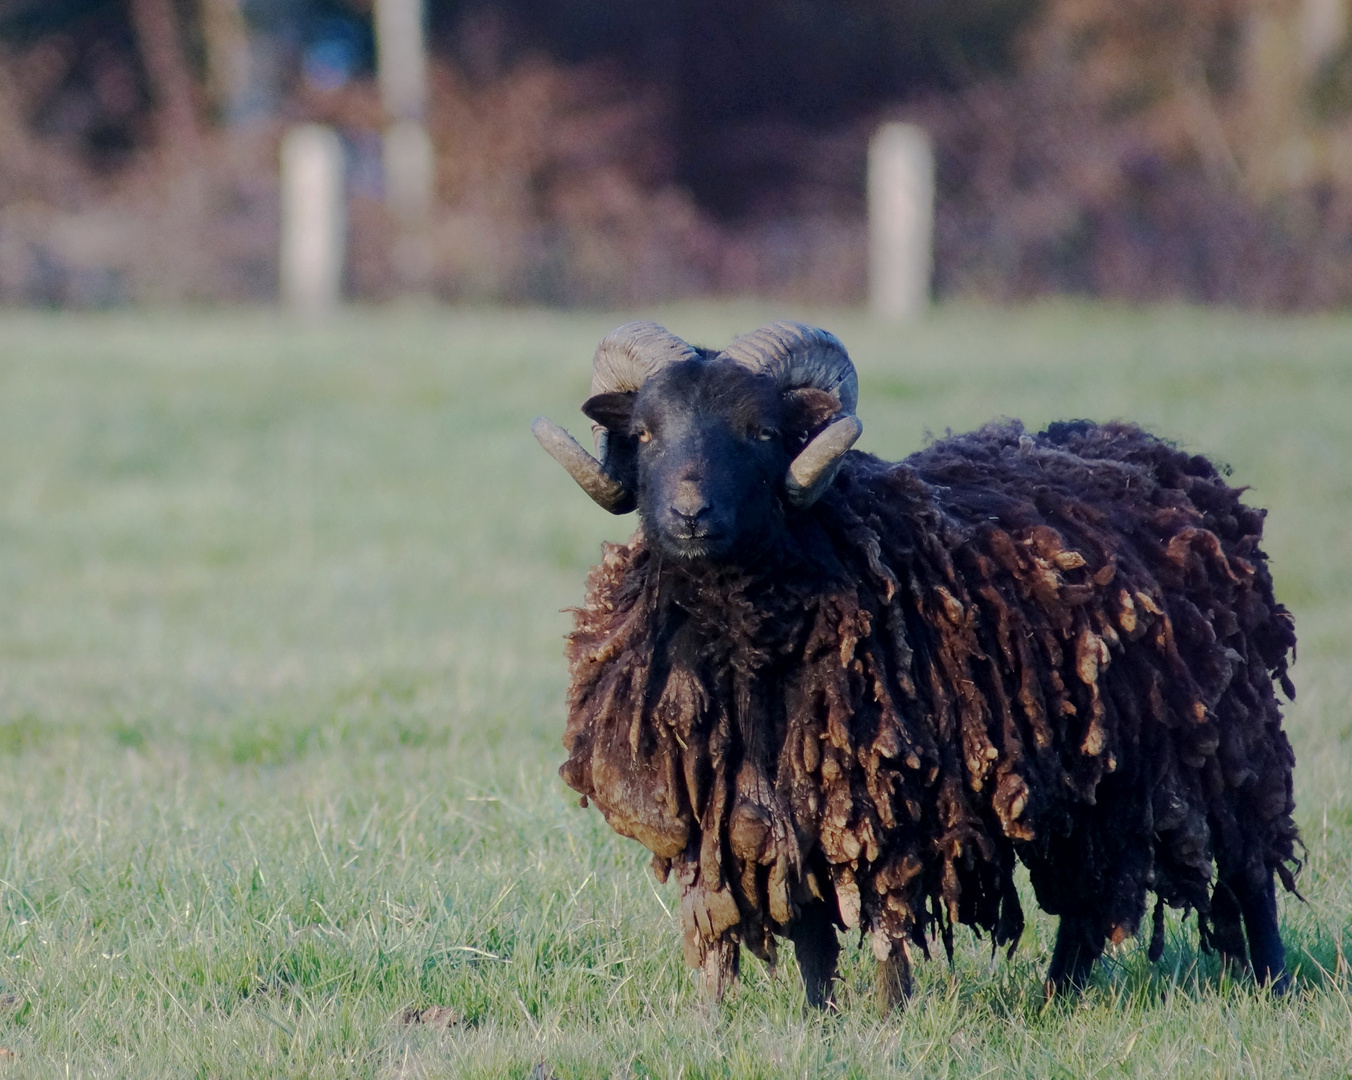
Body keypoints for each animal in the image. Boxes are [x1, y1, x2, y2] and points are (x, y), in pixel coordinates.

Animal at [529, 318, 1297, 1005]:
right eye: (645, 433)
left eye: (762, 432)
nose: (690, 513)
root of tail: (1176, 462)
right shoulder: (752, 808)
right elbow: (801, 932)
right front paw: (795, 1020)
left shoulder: (885, 794)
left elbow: (886, 927)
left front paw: (887, 1020)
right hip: (1095, 773)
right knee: (1087, 897)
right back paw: (1056, 999)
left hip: (1226, 740)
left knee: (1251, 868)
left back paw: (1276, 986)